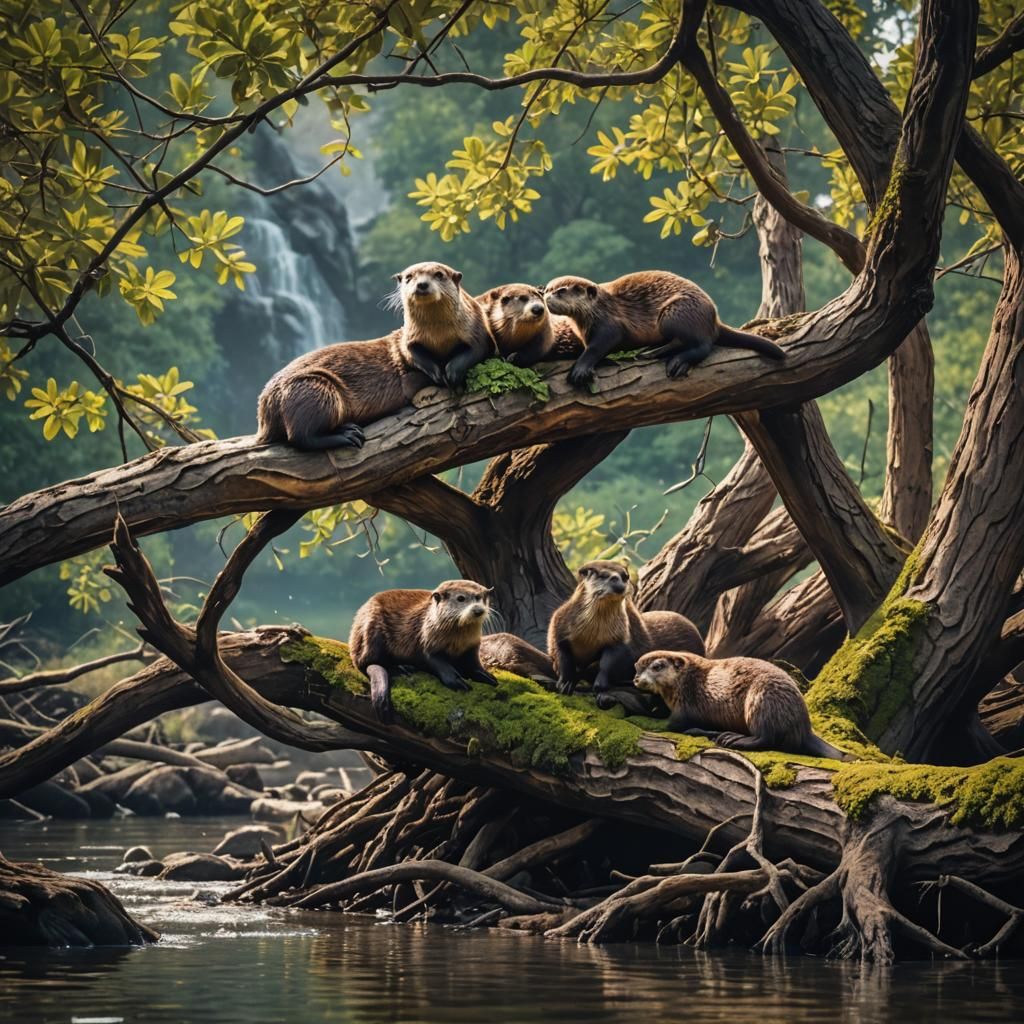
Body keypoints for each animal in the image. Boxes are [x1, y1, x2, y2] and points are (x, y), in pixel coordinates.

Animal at [349, 580, 498, 722]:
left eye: (479, 597)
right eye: (461, 598)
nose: (478, 610)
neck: (456, 642)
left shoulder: (471, 647)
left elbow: (473, 664)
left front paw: (487, 676)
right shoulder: (428, 641)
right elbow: (435, 661)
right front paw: (457, 681)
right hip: (373, 631)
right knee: (368, 663)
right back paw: (402, 668)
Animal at [544, 270, 786, 388]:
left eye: (562, 291)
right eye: (547, 289)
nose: (547, 297)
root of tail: (713, 317)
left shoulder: (609, 324)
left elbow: (598, 346)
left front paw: (581, 369)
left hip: (674, 313)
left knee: (702, 345)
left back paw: (667, 358)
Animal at [548, 560, 704, 695]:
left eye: (625, 576)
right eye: (602, 575)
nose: (617, 579)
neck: (590, 636)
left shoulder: (620, 637)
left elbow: (609, 662)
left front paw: (600, 684)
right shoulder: (559, 624)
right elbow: (561, 654)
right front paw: (566, 682)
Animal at [634, 651, 853, 760]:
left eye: (657, 666)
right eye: (636, 668)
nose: (637, 679)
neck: (687, 681)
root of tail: (804, 726)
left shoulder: (685, 704)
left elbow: (670, 724)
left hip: (762, 699)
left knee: (767, 738)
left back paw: (732, 739)